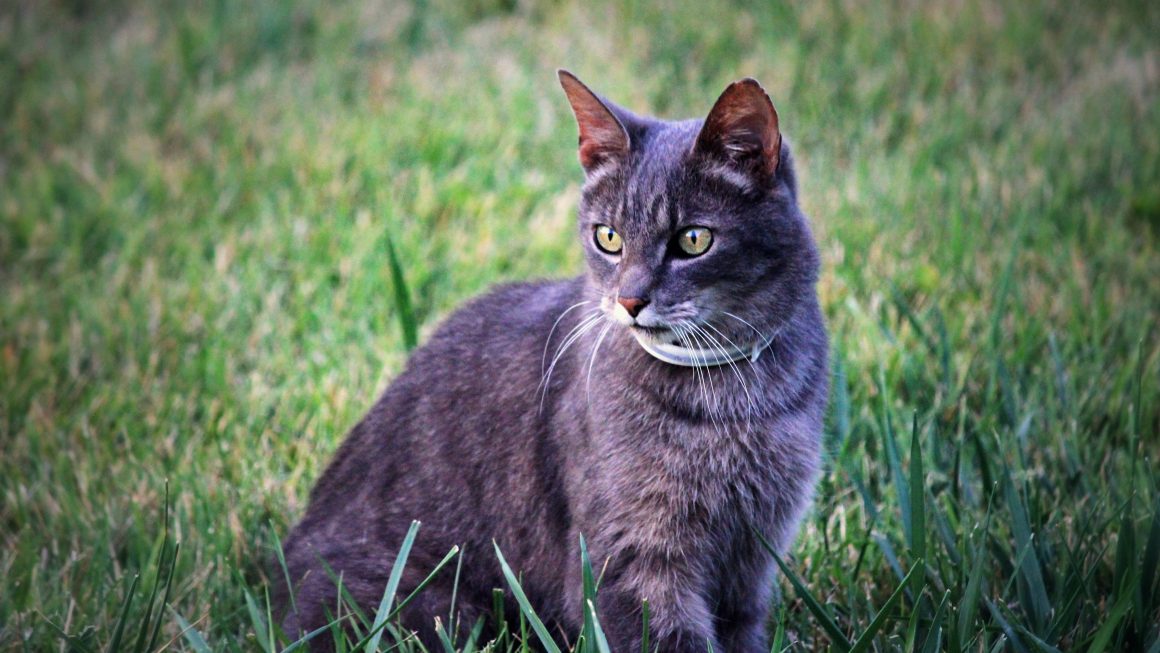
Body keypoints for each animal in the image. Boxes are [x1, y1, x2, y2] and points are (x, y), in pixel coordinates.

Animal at [276, 71, 830, 653]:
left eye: (694, 240)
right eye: (608, 237)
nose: (630, 300)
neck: (730, 397)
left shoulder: (751, 559)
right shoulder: (635, 556)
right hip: (432, 607)